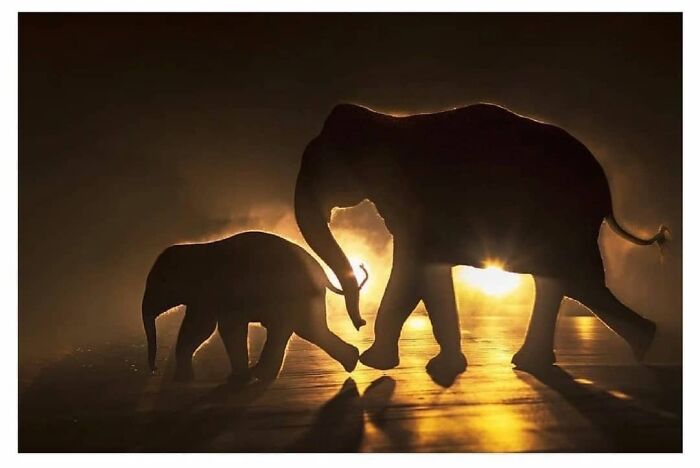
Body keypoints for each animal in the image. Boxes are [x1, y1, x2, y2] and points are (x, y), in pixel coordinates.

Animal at [142, 231, 368, 382]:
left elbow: (214, 327)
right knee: (305, 329)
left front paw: (234, 380)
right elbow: (199, 327)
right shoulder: (206, 297)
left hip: (296, 295)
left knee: (301, 329)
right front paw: (184, 379)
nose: (154, 369)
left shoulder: (221, 290)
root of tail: (322, 274)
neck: (197, 248)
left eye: (158, 283)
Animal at [294, 103, 667, 380]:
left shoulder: (419, 203)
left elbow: (411, 273)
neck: (386, 123)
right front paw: (441, 367)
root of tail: (606, 192)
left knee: (577, 281)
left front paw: (375, 362)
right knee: (567, 282)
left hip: (567, 221)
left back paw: (642, 346)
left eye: (322, 168)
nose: (358, 324)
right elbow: (428, 275)